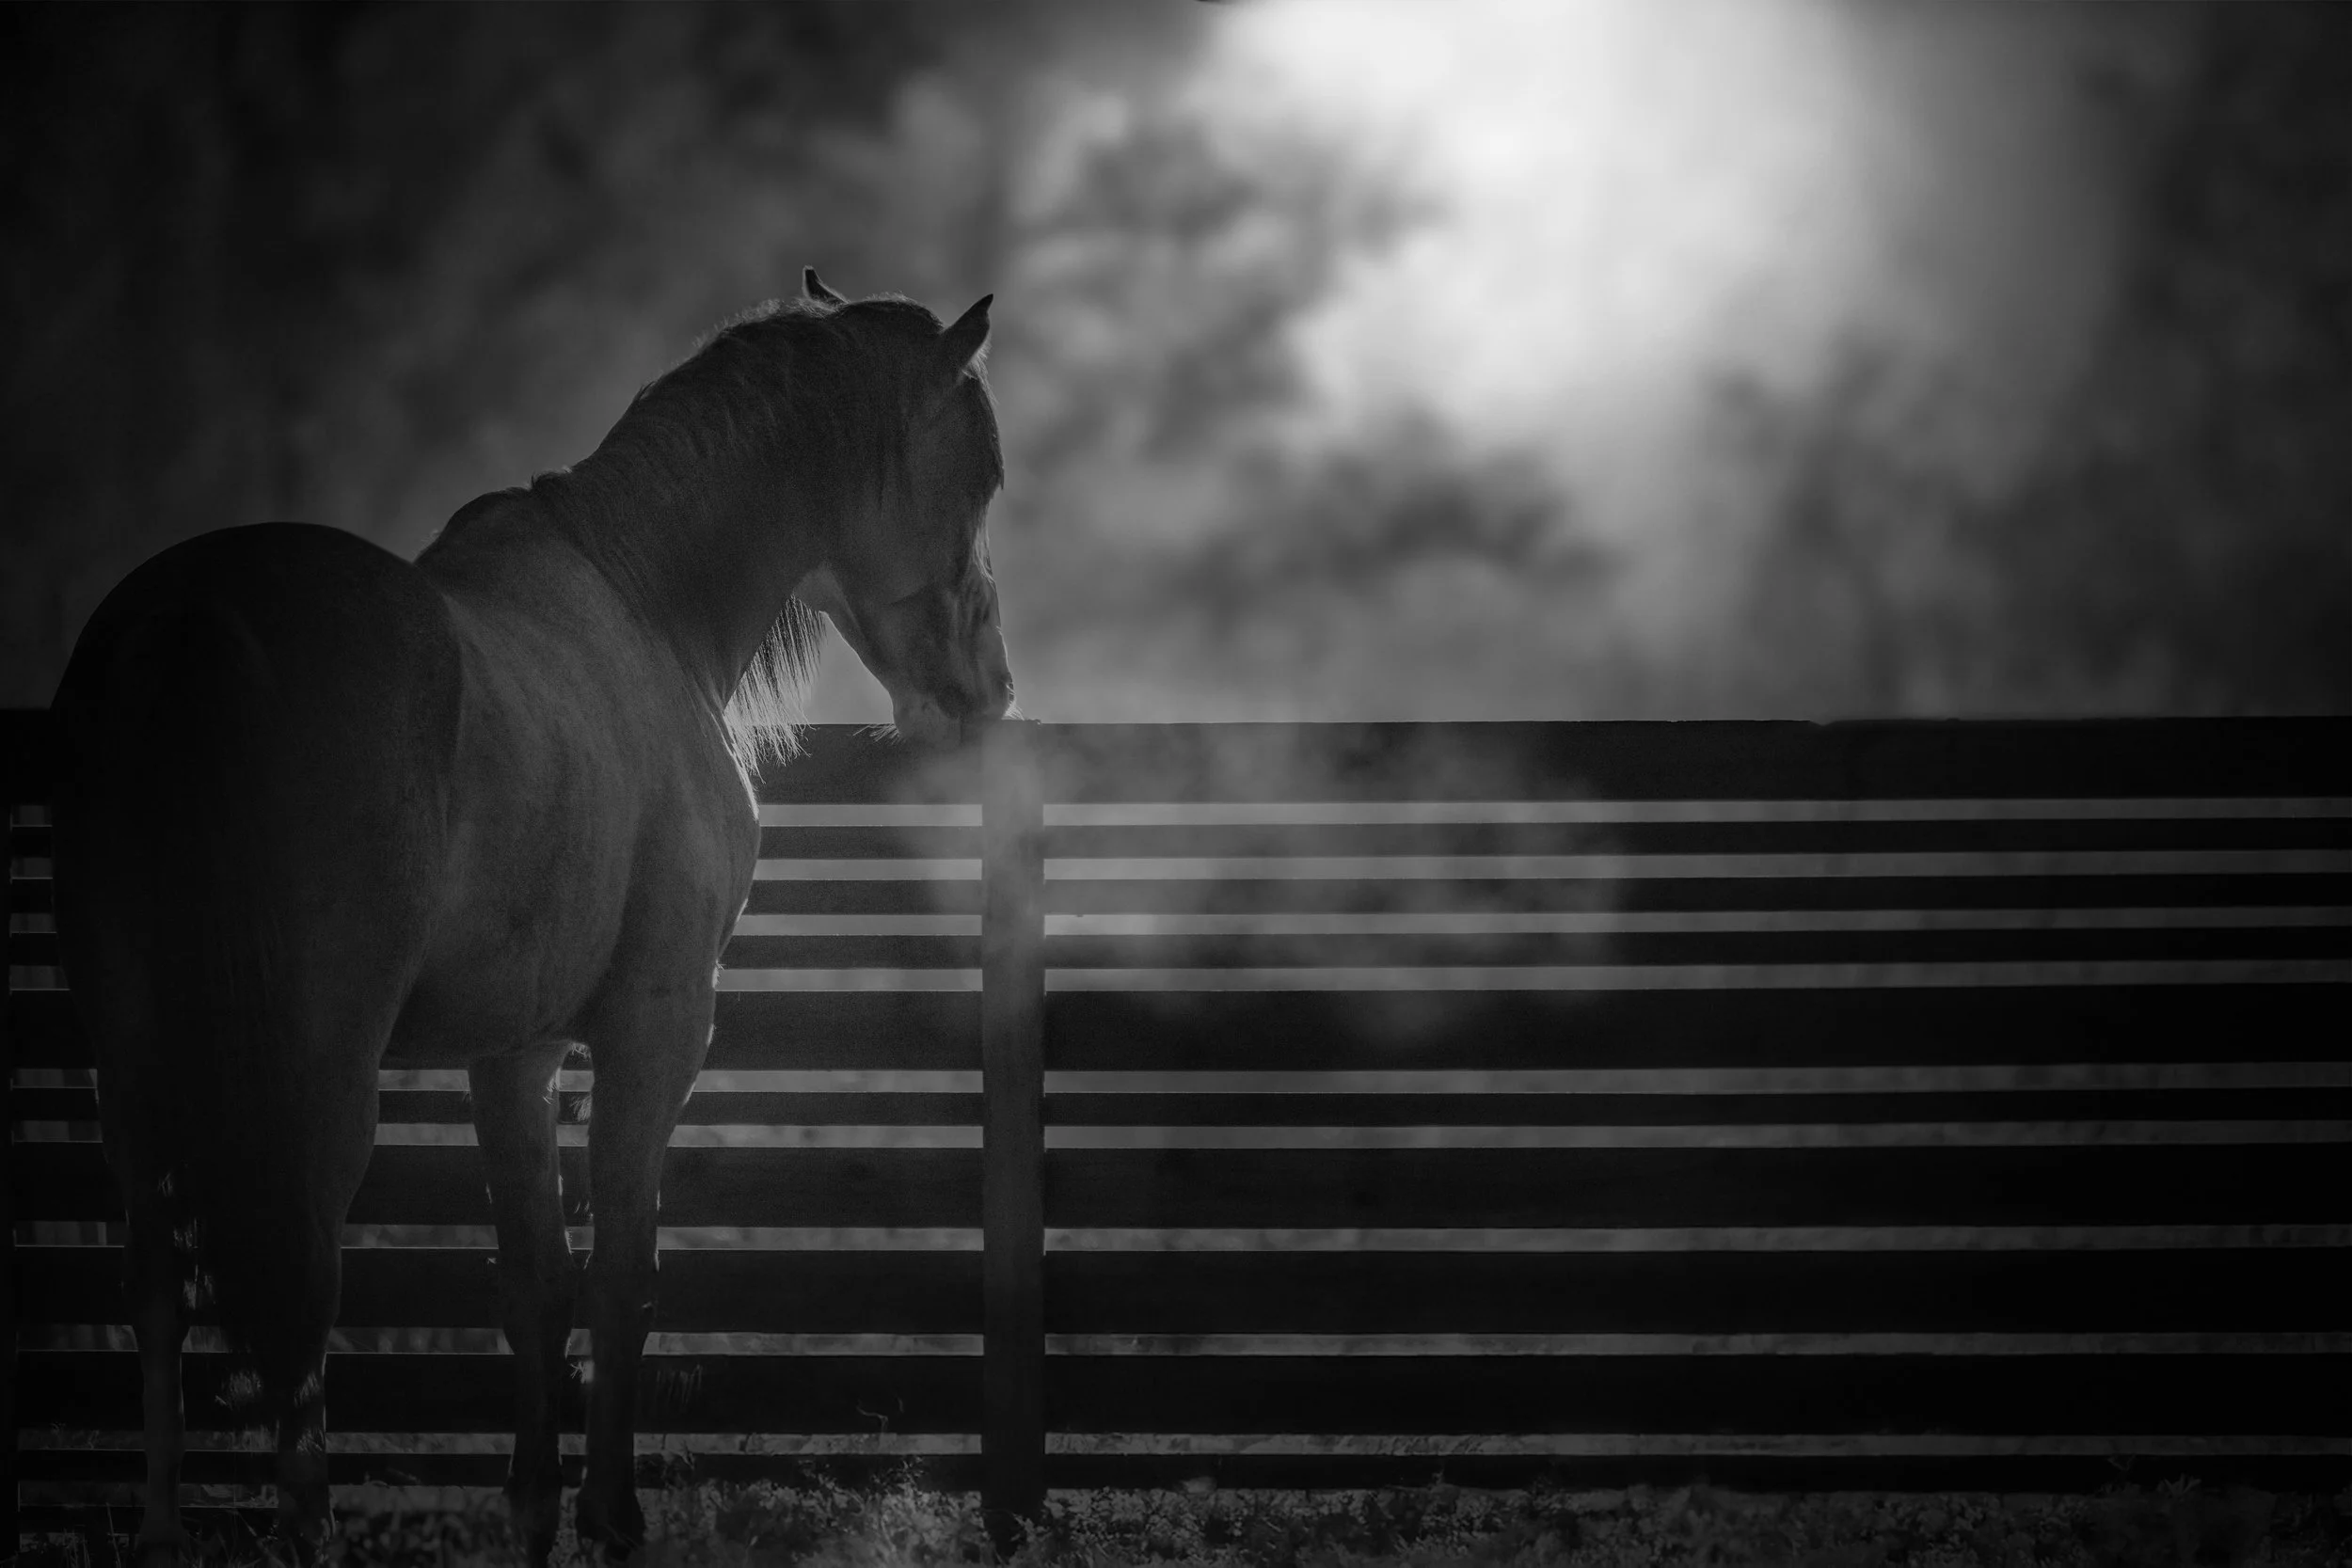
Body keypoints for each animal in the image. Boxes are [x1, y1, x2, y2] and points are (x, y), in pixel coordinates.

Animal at [49, 269, 1015, 1565]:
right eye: (979, 475)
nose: (987, 690)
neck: (643, 601)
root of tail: (190, 621)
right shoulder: (658, 1029)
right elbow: (622, 1275)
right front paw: (611, 1517)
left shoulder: (513, 1051)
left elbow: (534, 1283)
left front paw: (533, 1510)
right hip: (317, 1072)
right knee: (297, 1286)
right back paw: (309, 1529)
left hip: (134, 1059)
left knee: (157, 1285)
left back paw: (161, 1531)